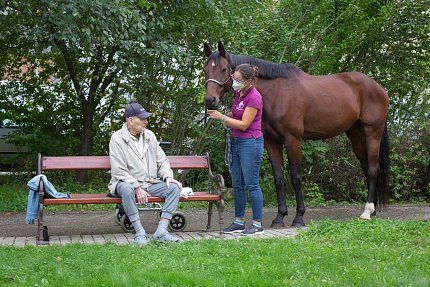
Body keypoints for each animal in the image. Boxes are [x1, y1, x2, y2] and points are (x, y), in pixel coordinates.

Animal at [202, 41, 390, 228]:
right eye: (205, 70)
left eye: (224, 69)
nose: (210, 101)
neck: (276, 93)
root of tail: (379, 88)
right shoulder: (272, 142)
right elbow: (279, 179)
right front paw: (279, 217)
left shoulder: (292, 140)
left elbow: (295, 177)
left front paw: (299, 217)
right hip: (356, 136)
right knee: (366, 168)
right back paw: (371, 210)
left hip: (372, 134)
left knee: (373, 170)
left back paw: (367, 212)